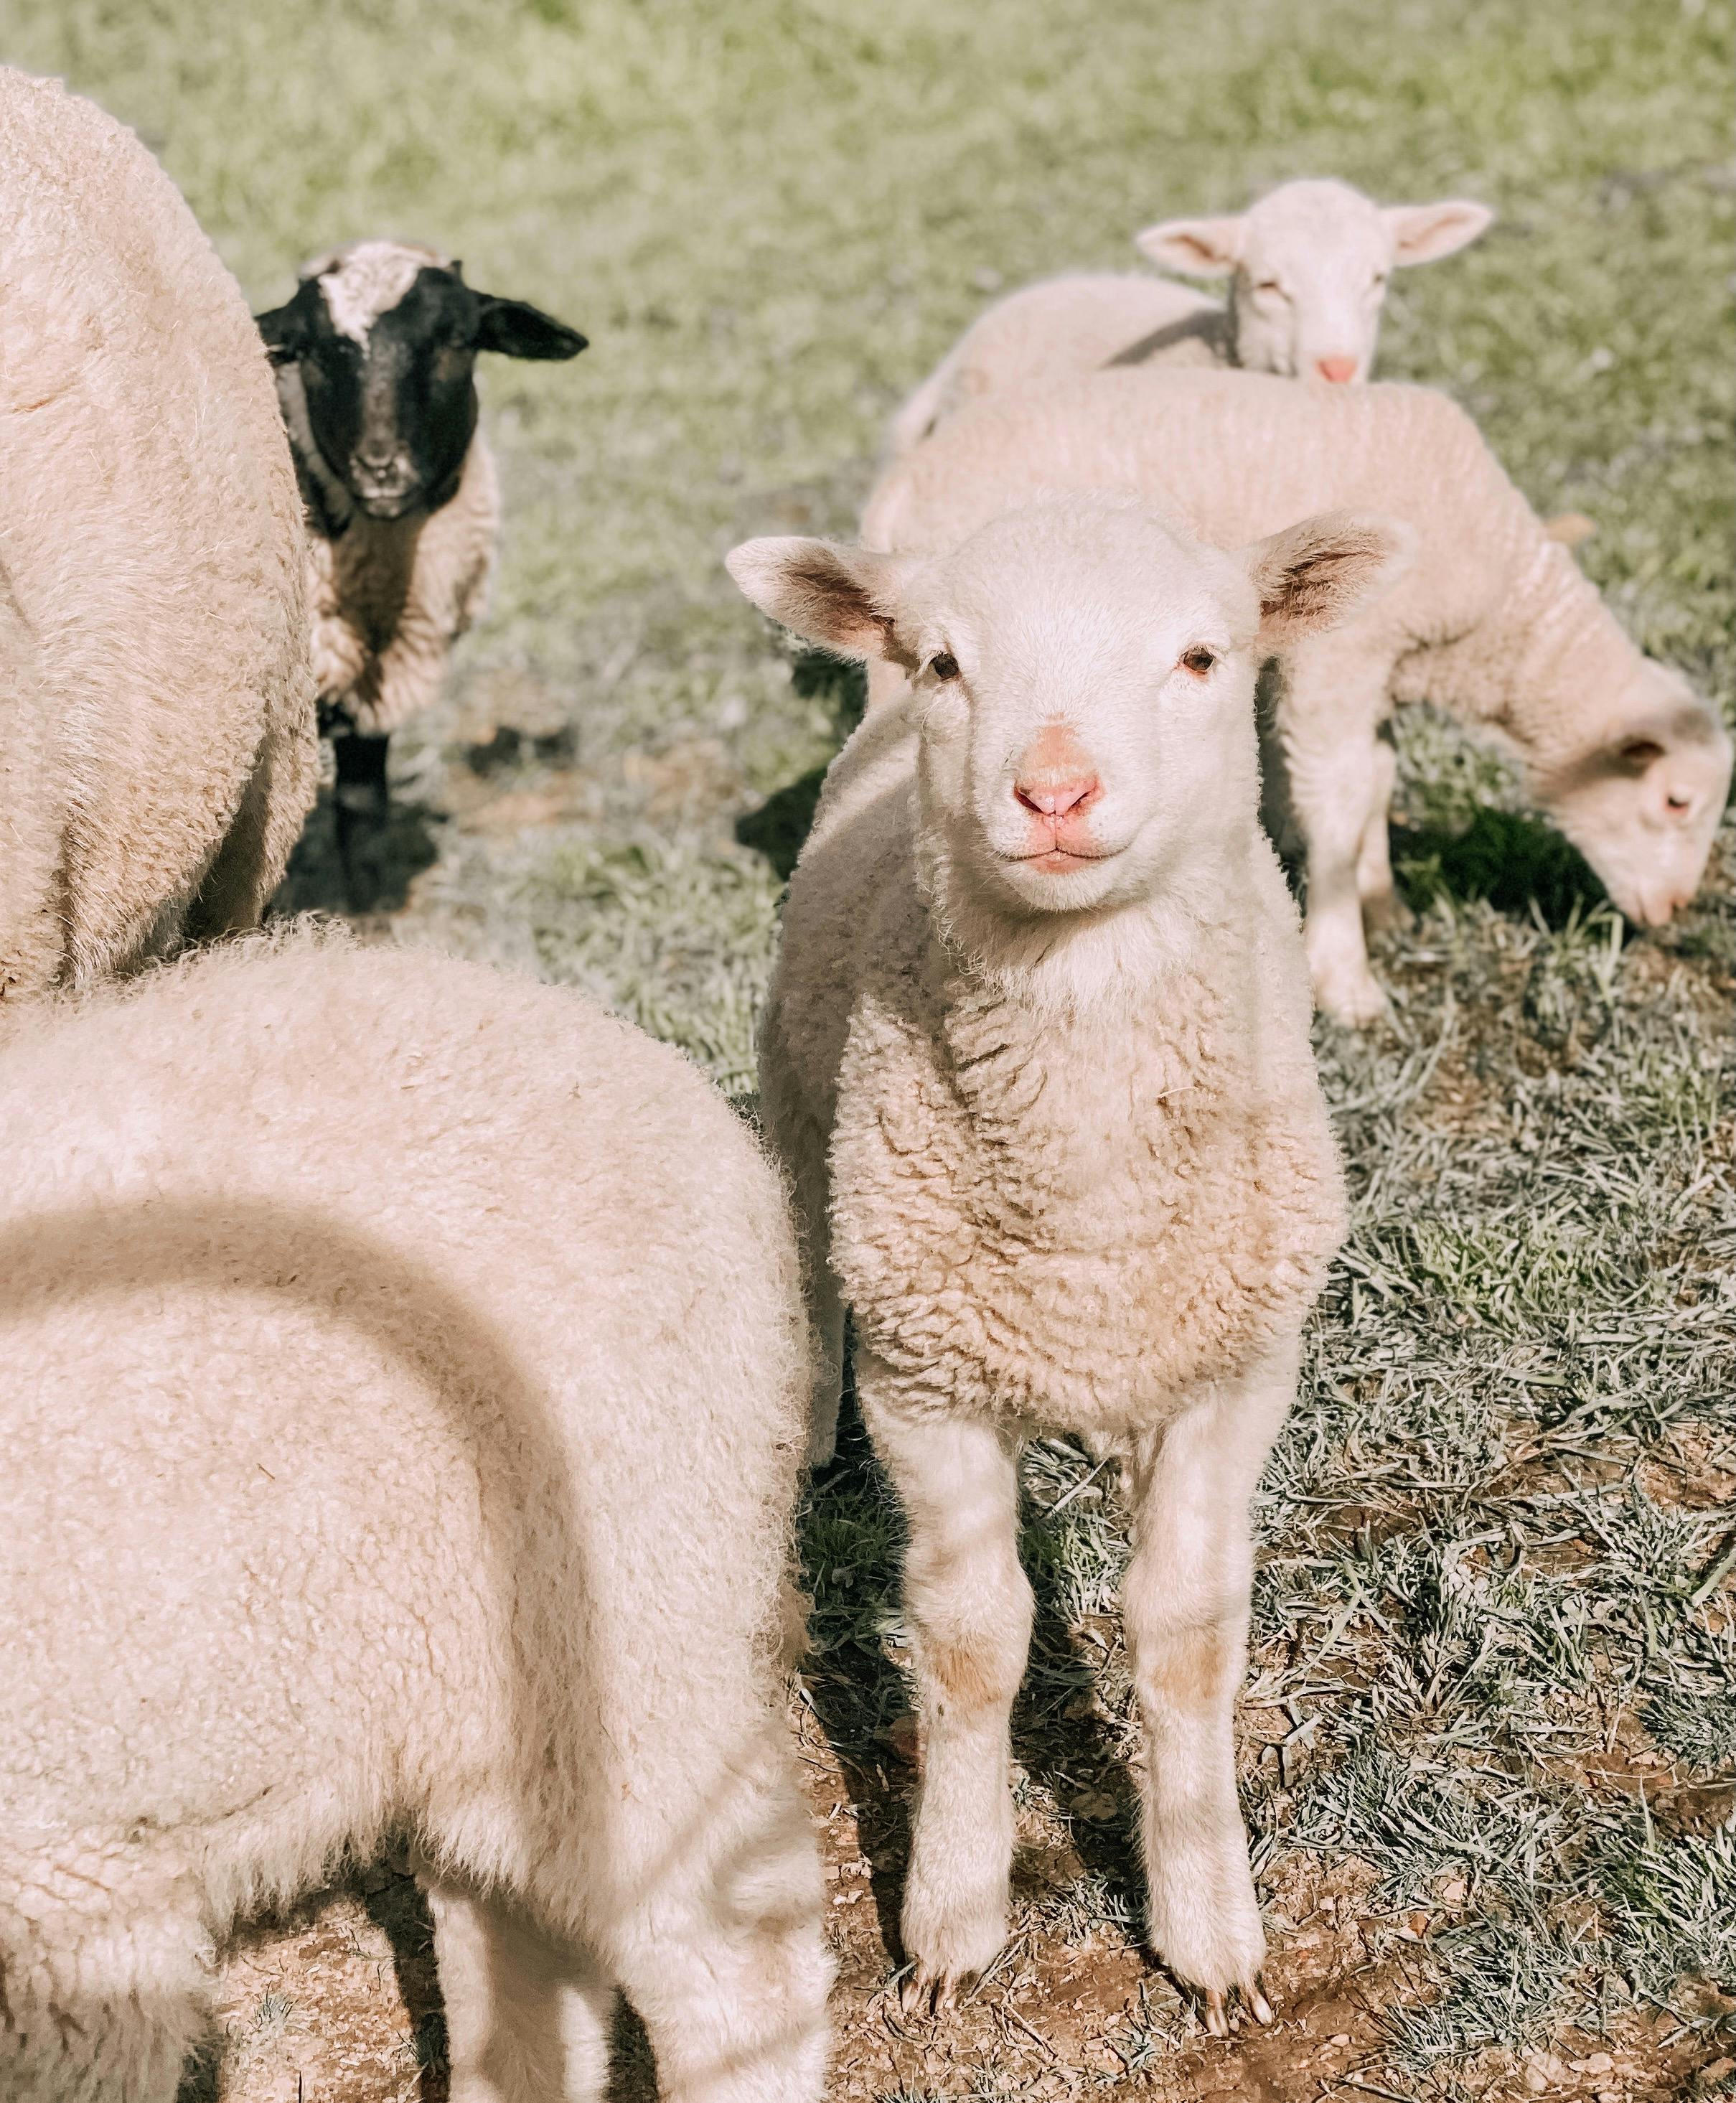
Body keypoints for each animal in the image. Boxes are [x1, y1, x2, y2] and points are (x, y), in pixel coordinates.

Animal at [727, 493, 1408, 2029]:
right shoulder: (926, 1382)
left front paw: (1209, 1932)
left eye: (1202, 657)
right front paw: (949, 1920)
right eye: (942, 662)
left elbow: (1187, 1635)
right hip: (805, 1103)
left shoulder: (1233, 1369)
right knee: (803, 1239)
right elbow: (973, 1642)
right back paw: (804, 1415)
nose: (1050, 793)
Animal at [861, 368, 1733, 1025]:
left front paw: (1385, 906)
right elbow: (1336, 810)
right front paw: (1344, 976)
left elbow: (1376, 781)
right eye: (1676, 802)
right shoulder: (1337, 663)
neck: (1491, 619)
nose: (1673, 911)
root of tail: (897, 483)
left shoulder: (1378, 670)